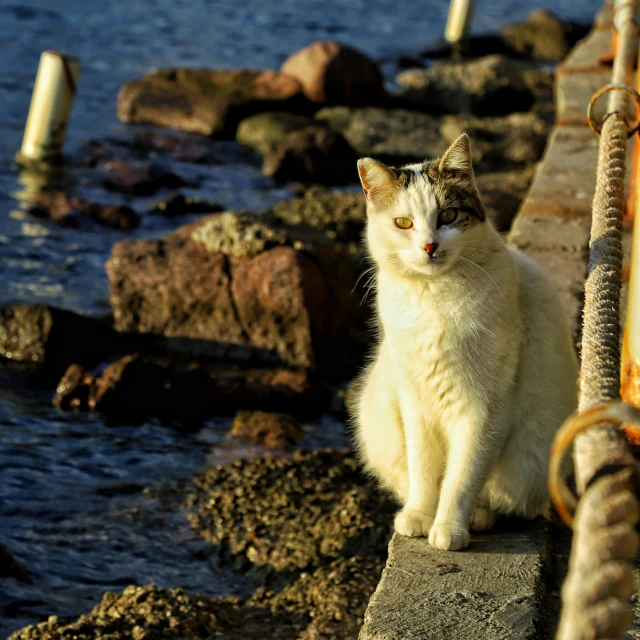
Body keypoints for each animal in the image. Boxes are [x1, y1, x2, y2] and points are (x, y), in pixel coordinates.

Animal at [352, 134, 576, 552]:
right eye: (403, 223)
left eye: (449, 216)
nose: (429, 246)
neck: (434, 297)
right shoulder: (416, 404)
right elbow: (424, 471)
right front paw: (420, 516)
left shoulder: (485, 410)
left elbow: (463, 476)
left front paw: (449, 528)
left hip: (530, 462)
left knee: (503, 498)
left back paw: (479, 517)